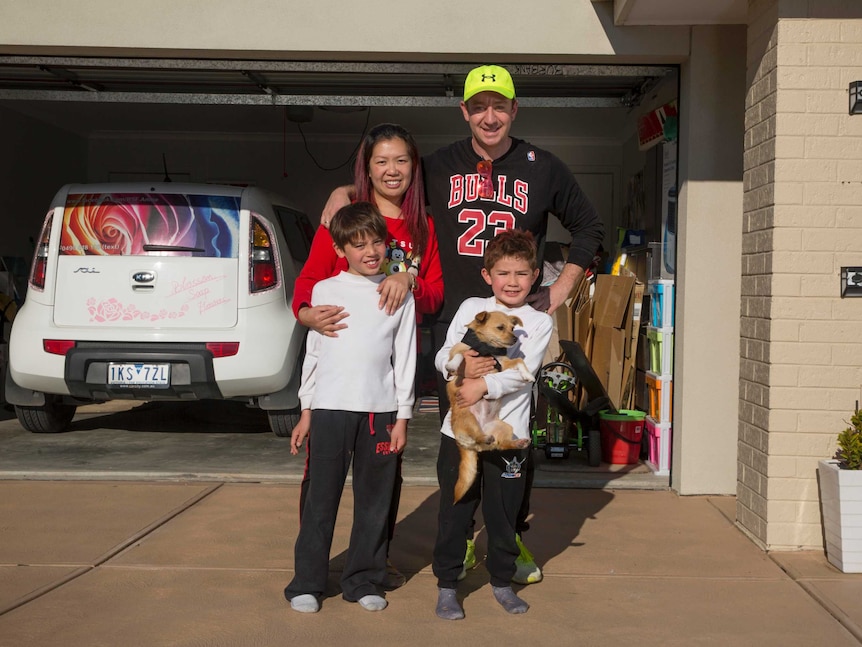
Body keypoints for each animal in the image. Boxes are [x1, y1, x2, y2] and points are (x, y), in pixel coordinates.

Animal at [446, 312, 532, 504]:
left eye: (512, 328)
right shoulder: (461, 350)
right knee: (478, 437)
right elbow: (460, 357)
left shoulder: (503, 364)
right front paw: (452, 366)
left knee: (500, 445)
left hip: (504, 427)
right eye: (500, 327)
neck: (486, 348)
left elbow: (519, 360)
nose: (515, 338)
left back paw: (516, 442)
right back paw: (485, 438)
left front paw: (528, 375)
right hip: (469, 419)